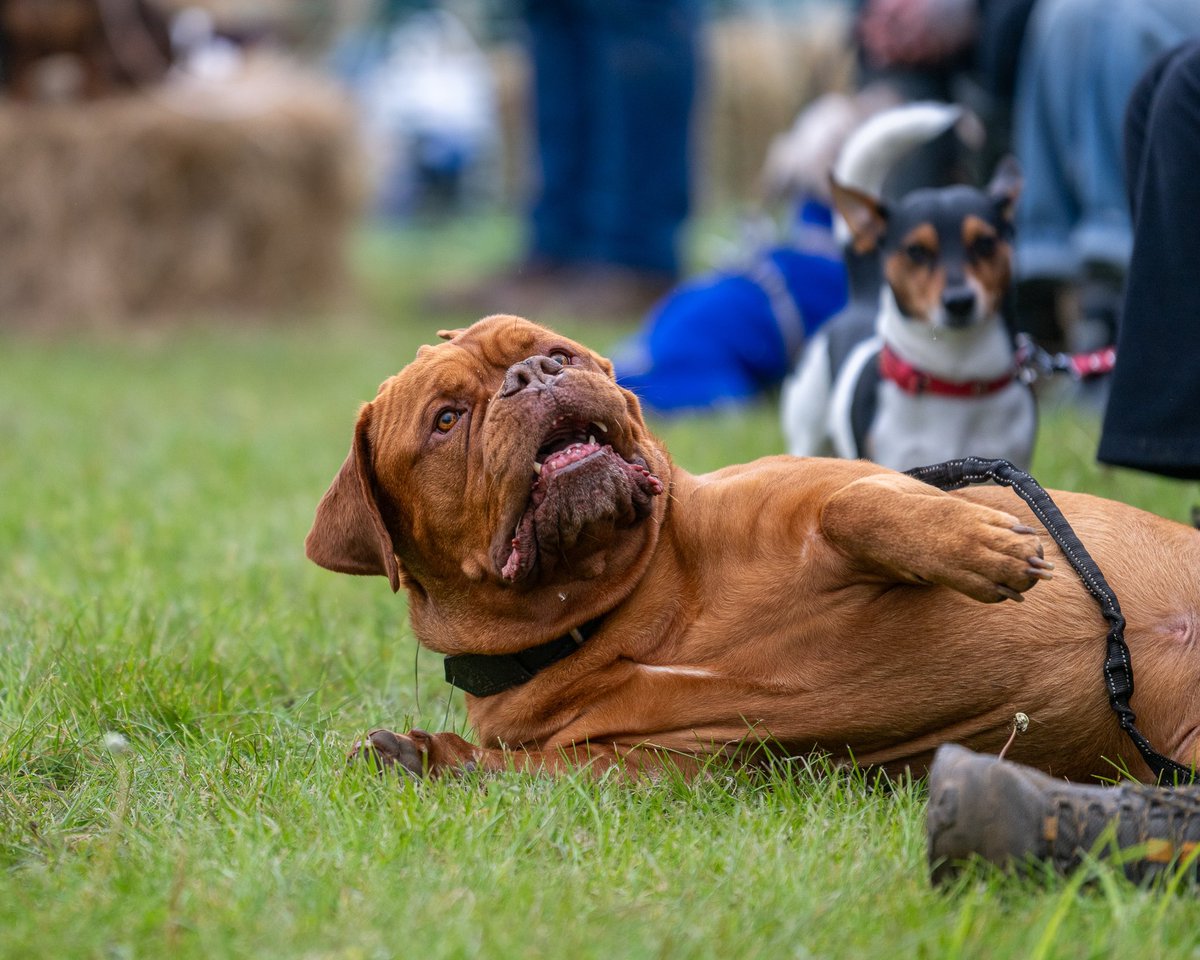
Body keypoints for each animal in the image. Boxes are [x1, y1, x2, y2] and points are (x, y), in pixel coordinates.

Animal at [309, 319, 1200, 782]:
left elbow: (858, 505)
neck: (635, 606)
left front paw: (974, 543)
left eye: (558, 351)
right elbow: (505, 768)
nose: (534, 373)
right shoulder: (647, 767)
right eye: (446, 419)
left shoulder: (824, 485)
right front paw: (418, 755)